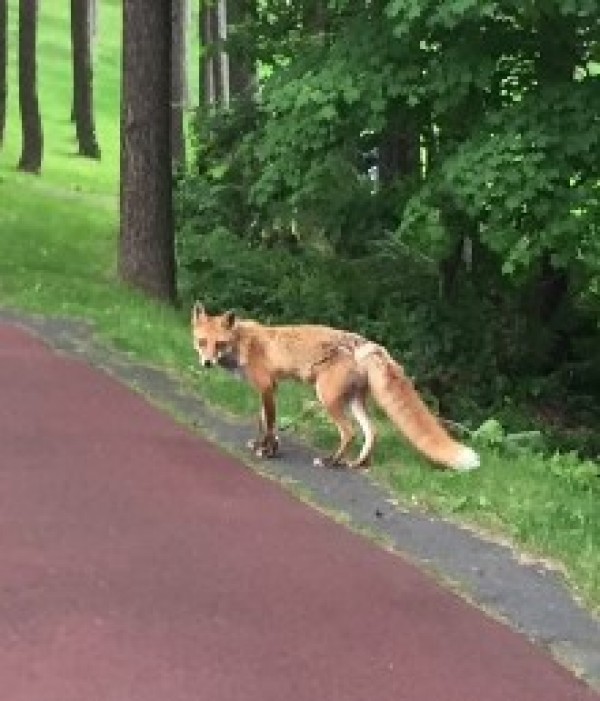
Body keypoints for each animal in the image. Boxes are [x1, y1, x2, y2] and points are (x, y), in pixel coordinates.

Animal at [190, 302, 480, 470]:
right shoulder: (270, 389)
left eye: (219, 344)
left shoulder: (266, 387)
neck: (242, 344)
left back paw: (331, 461)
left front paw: (267, 451)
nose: (207, 363)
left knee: (350, 433)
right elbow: (262, 421)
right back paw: (358, 463)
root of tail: (368, 344)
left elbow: (269, 424)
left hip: (327, 398)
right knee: (371, 432)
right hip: (354, 401)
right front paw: (265, 446)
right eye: (202, 342)